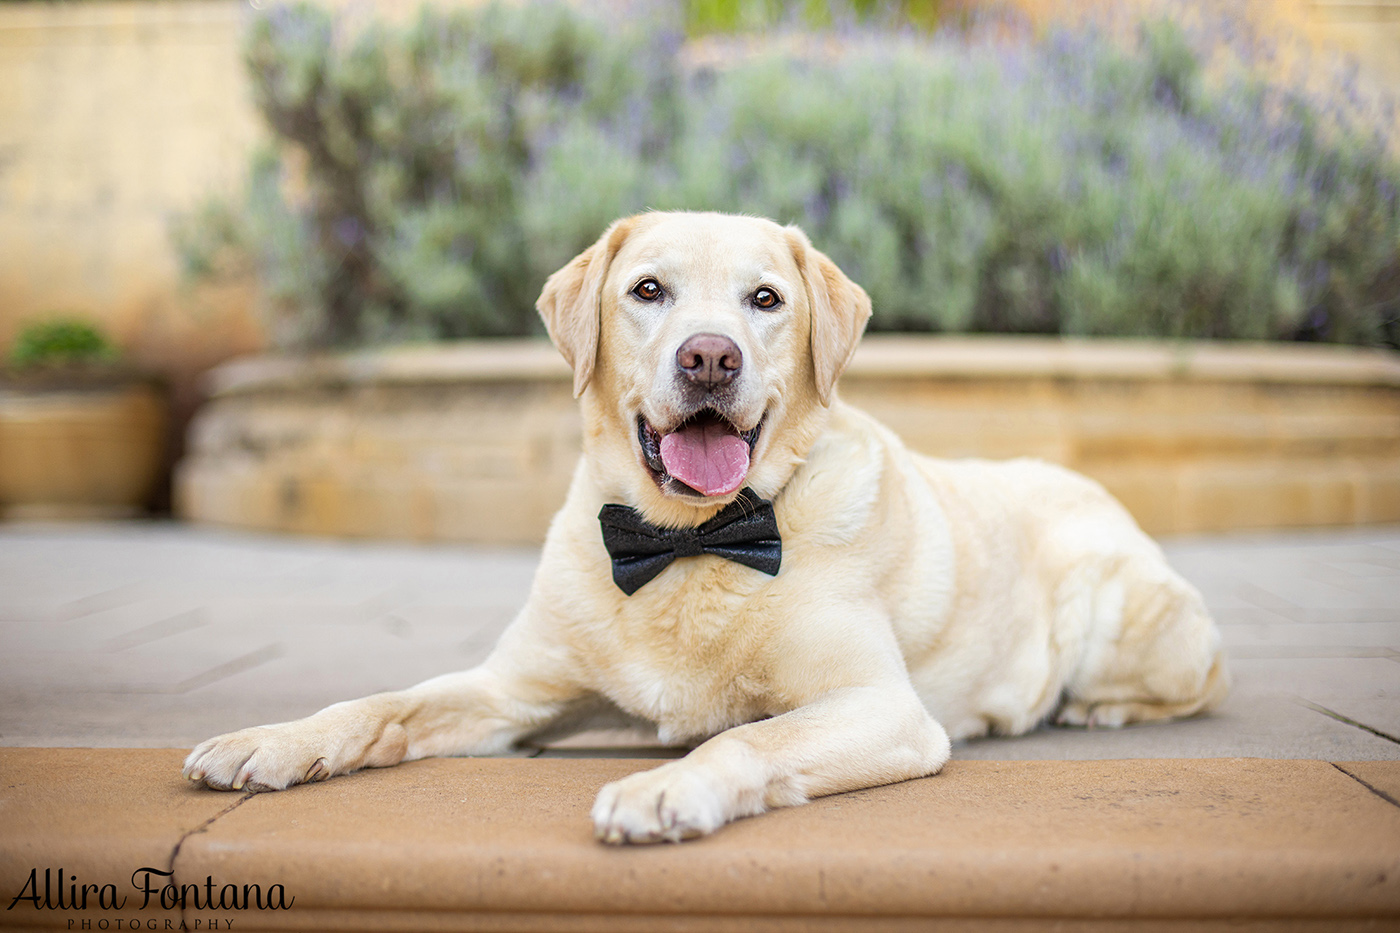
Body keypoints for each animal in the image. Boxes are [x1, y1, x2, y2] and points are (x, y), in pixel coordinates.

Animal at [186, 210, 1226, 840]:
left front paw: (666, 784)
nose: (711, 357)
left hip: (1132, 624)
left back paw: (1096, 707)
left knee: (1200, 678)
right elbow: (378, 703)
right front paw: (272, 740)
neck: (688, 539)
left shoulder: (881, 706)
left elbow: (745, 739)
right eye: (648, 289)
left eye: (766, 299)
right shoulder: (511, 693)